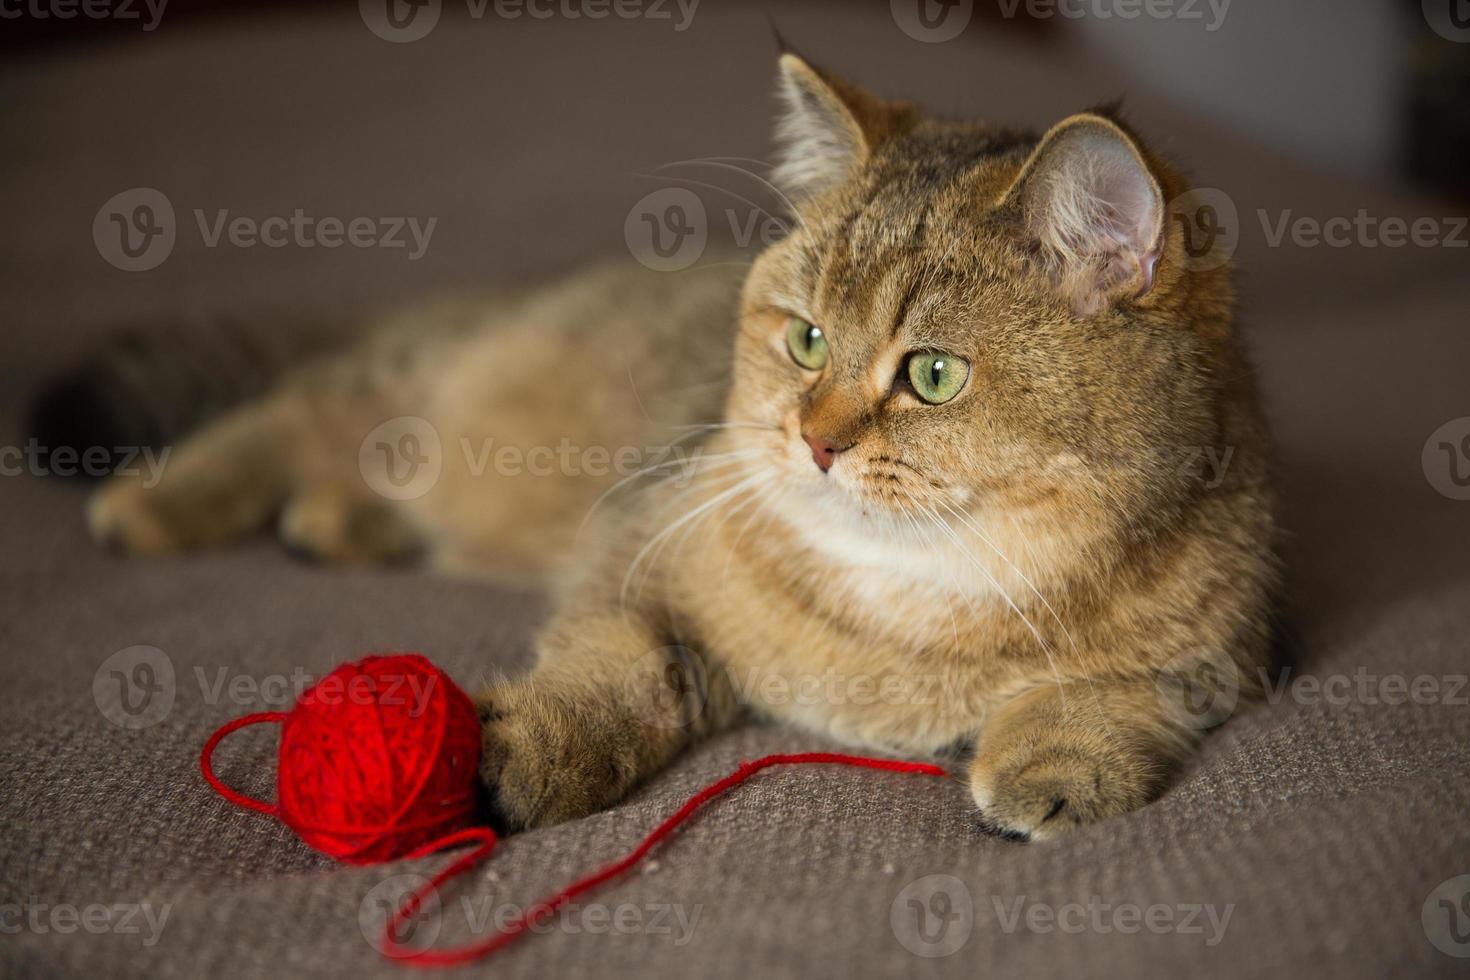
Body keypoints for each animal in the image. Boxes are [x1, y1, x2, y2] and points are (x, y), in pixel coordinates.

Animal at [77, 53, 1275, 840]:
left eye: (933, 374)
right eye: (806, 340)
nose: (813, 440)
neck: (913, 603)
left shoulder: (1237, 652)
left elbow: (1126, 686)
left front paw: (1062, 750)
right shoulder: (635, 550)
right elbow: (620, 666)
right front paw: (537, 747)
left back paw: (340, 519)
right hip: (412, 382)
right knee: (287, 412)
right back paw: (157, 500)